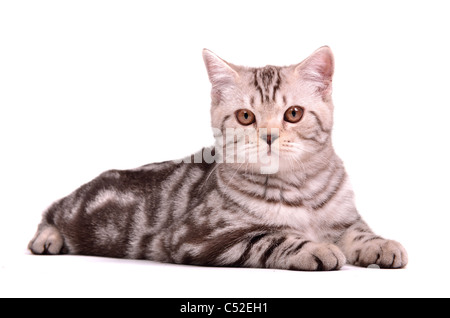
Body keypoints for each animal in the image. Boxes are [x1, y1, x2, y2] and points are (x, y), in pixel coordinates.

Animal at [28, 47, 408, 270]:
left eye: (294, 113)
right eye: (245, 117)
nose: (268, 136)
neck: (300, 188)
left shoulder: (345, 219)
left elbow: (360, 232)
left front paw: (382, 244)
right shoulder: (199, 237)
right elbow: (271, 237)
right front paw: (313, 248)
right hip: (75, 208)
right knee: (52, 210)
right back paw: (47, 238)